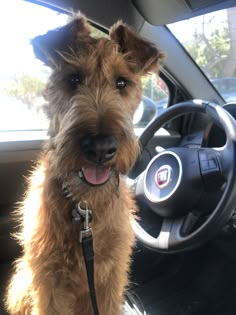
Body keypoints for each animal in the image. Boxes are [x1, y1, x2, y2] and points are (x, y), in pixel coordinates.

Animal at [5, 13, 162, 314]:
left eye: (122, 83)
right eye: (73, 78)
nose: (100, 148)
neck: (86, 206)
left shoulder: (111, 278)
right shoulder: (49, 282)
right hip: (21, 284)